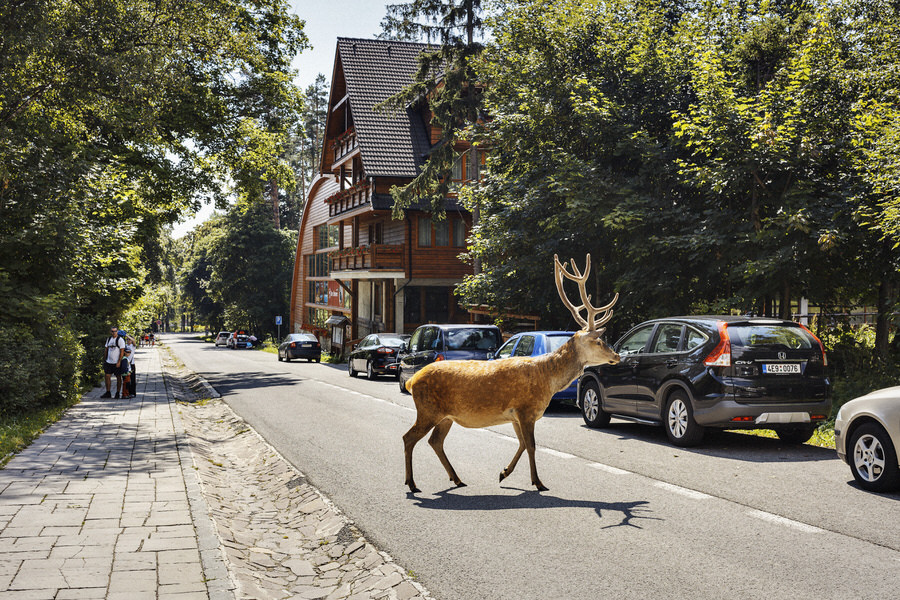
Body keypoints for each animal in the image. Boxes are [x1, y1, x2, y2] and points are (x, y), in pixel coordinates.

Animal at [404, 253, 624, 492]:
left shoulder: (515, 415)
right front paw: (538, 482)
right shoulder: (526, 410)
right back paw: (412, 484)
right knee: (409, 438)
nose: (617, 355)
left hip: (445, 415)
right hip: (428, 409)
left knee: (435, 441)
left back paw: (457, 479)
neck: (547, 380)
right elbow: (532, 446)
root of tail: (411, 381)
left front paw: (503, 473)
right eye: (598, 341)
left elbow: (522, 444)